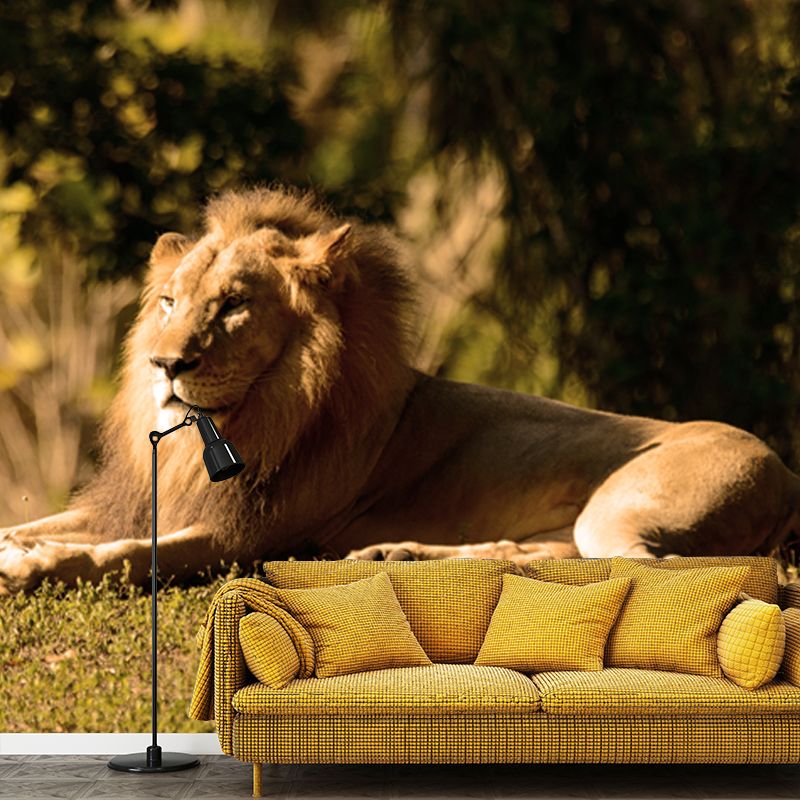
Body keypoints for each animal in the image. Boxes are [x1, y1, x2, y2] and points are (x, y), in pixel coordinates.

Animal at [1, 186, 799, 593]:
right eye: (168, 301)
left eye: (232, 306)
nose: (165, 364)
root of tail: (787, 472)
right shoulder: (142, 501)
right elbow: (47, 524)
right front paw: (21, 543)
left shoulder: (249, 536)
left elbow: (126, 555)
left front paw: (35, 566)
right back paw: (396, 557)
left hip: (623, 506)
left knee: (654, 569)